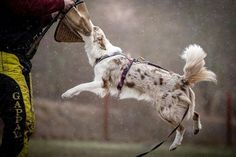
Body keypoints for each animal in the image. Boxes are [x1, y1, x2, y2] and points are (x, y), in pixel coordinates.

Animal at [61, 23, 217, 150]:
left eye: (93, 29)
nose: (93, 24)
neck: (103, 54)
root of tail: (182, 79)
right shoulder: (101, 85)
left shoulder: (101, 82)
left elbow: (80, 85)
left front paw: (67, 93)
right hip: (180, 107)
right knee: (195, 114)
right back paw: (196, 129)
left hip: (164, 110)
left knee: (181, 127)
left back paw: (174, 145)